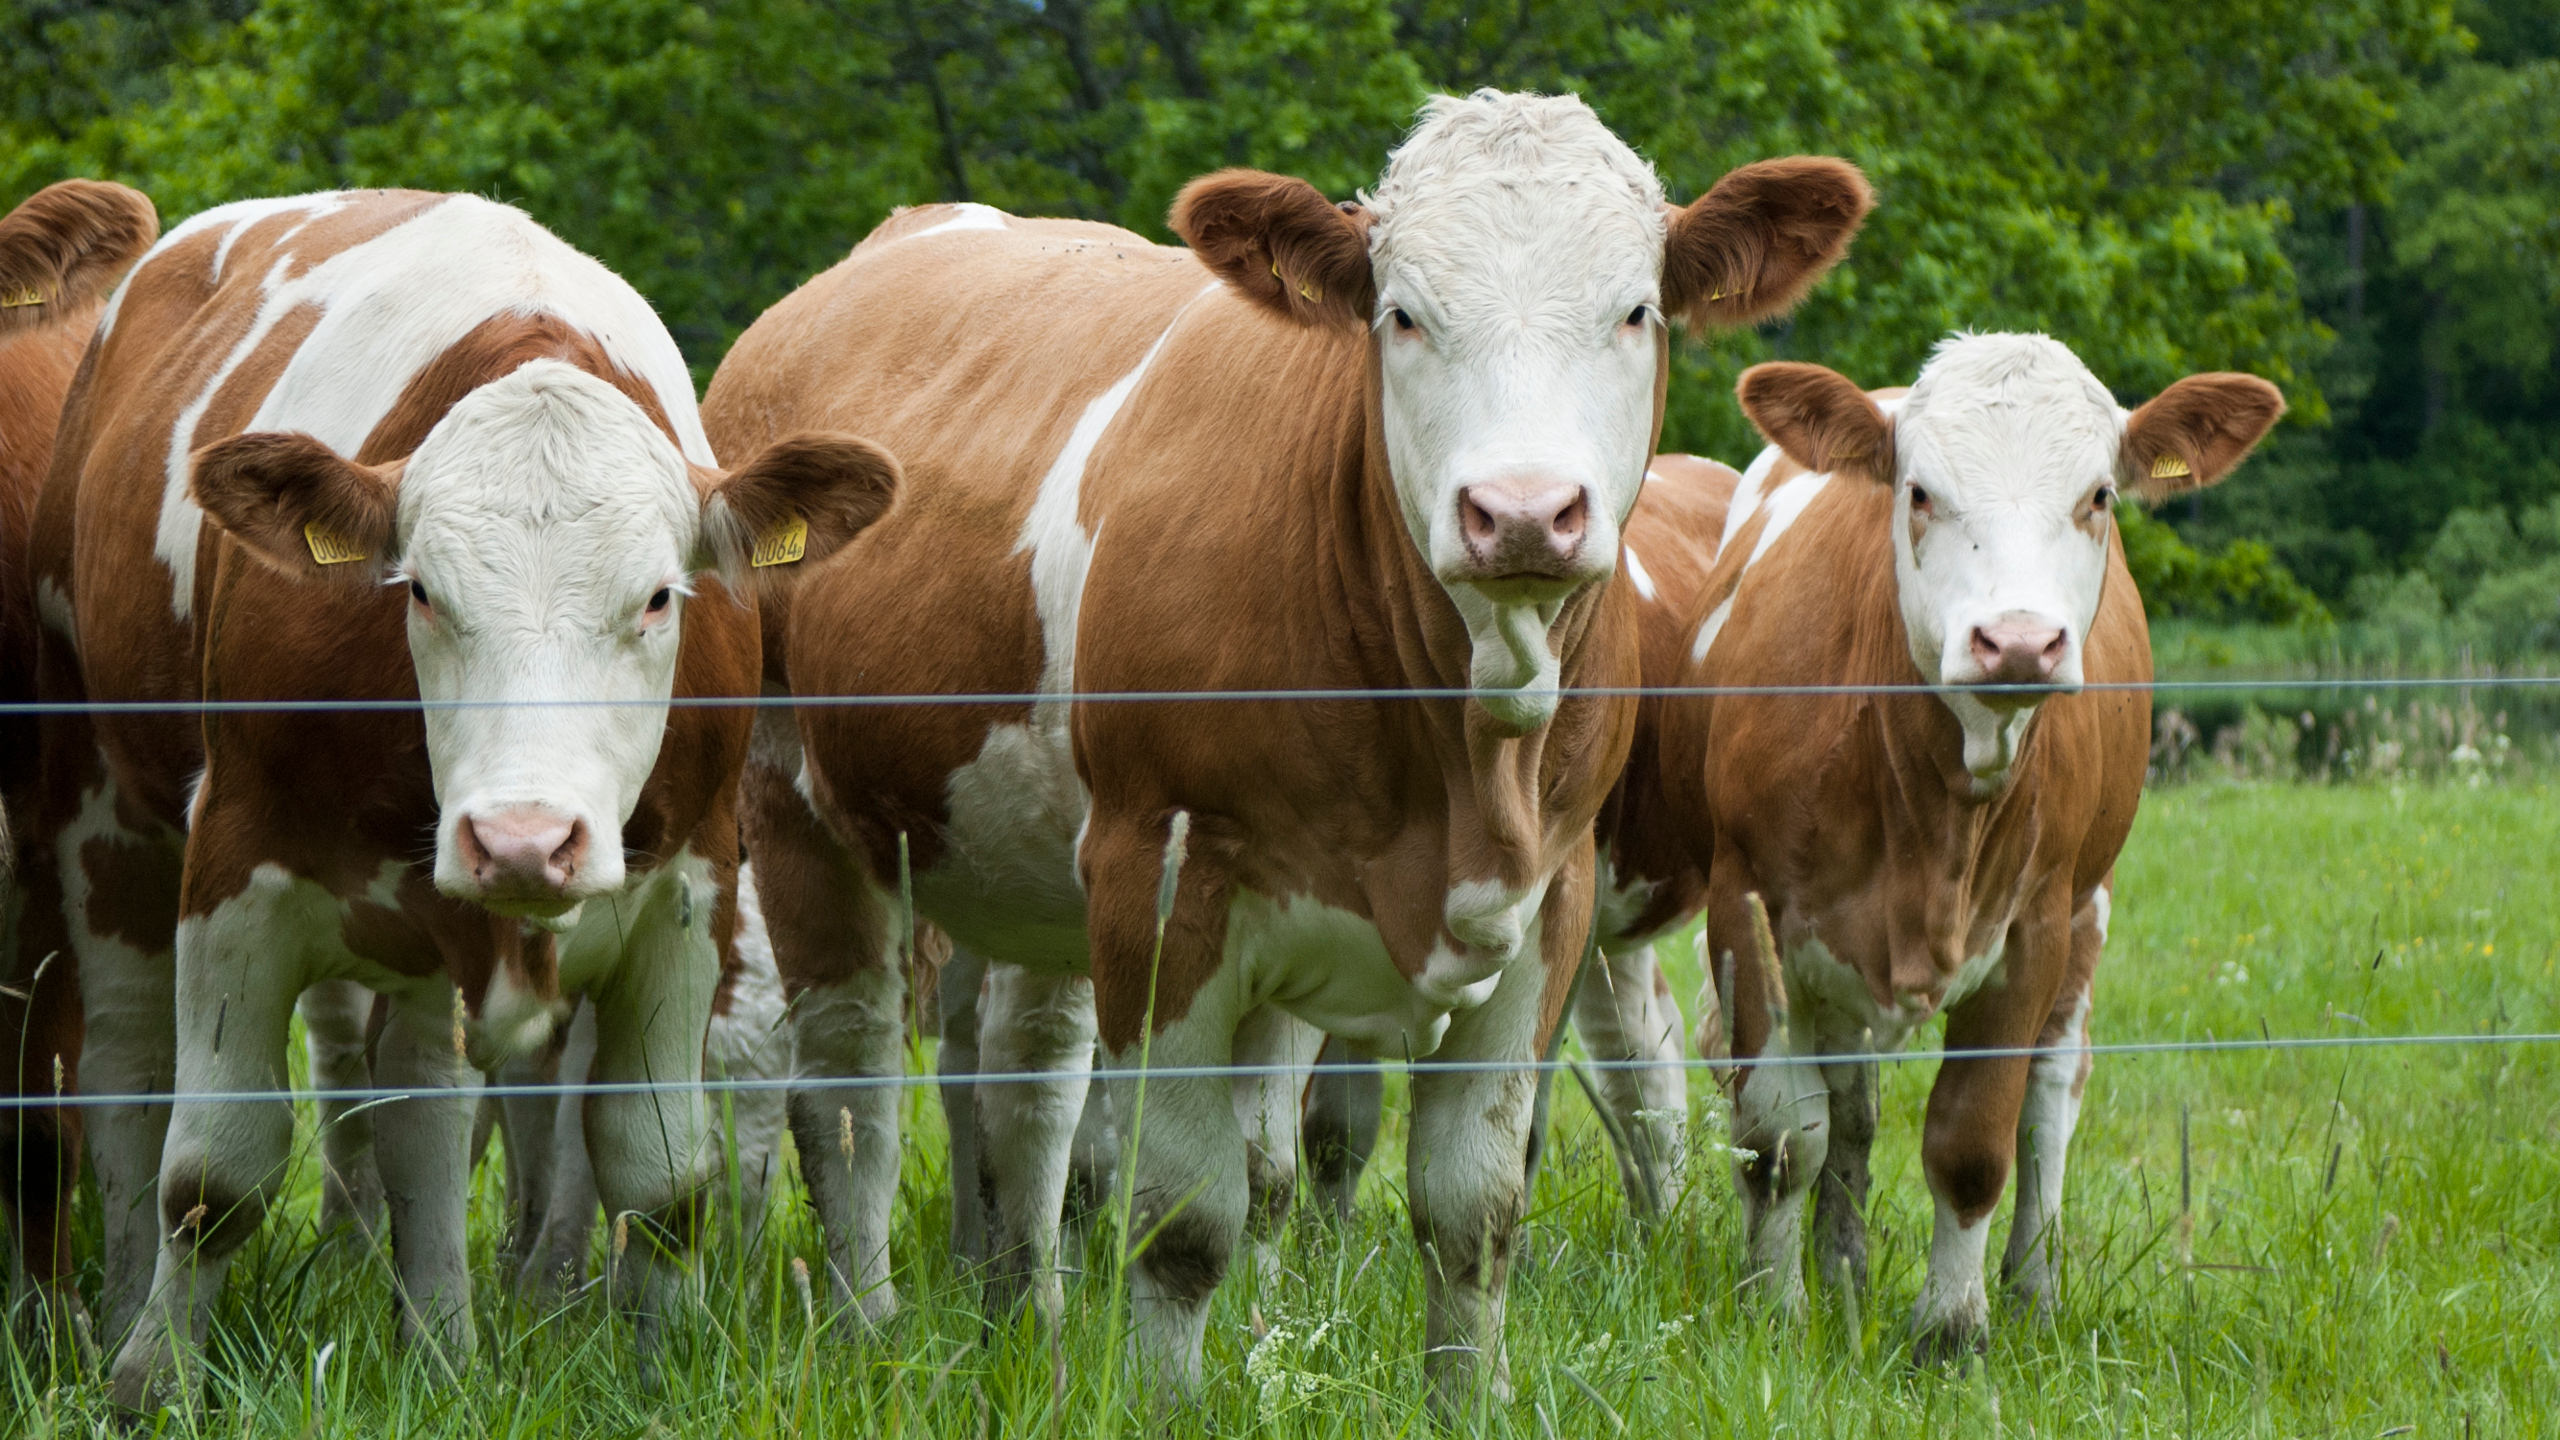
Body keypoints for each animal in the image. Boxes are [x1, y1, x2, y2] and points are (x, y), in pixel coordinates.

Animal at [26, 187, 898, 1408]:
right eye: (422, 592)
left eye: (659, 597)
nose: (523, 840)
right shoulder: (236, 867)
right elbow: (212, 1173)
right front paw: (156, 1381)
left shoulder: (689, 887)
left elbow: (659, 1175)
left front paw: (655, 1373)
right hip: (96, 803)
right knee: (124, 1067)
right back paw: (109, 1316)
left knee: (420, 1106)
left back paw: (438, 1346)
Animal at [702, 89, 1871, 1411]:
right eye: (1400, 314)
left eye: (1636, 311)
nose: (1522, 513)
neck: (1462, 754)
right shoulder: (1162, 885)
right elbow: (1183, 1219)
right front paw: (1164, 1405)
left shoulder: (1550, 899)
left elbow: (1467, 1210)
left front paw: (1460, 1401)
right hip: (797, 813)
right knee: (847, 1090)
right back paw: (867, 1327)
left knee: (1031, 1084)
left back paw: (1031, 1315)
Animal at [1659, 334, 2282, 1361]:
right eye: (1917, 491)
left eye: (2098, 495)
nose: (2019, 642)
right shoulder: (1747, 908)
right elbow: (1786, 1135)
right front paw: (1776, 1312)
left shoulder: (2033, 930)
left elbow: (1974, 1143)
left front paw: (1952, 1332)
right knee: (1851, 1108)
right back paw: (1842, 1270)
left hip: (2088, 909)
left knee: (2049, 1102)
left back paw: (2032, 1292)